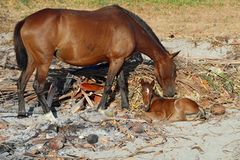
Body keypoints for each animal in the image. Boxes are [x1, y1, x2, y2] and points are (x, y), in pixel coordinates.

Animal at [12, 4, 178, 117]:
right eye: (173, 71)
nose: (171, 94)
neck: (130, 28)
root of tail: (26, 20)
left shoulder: (120, 61)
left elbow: (122, 84)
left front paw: (125, 106)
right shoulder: (116, 61)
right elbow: (109, 84)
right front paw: (101, 108)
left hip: (33, 61)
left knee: (21, 83)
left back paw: (21, 113)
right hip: (43, 62)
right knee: (37, 86)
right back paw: (49, 115)